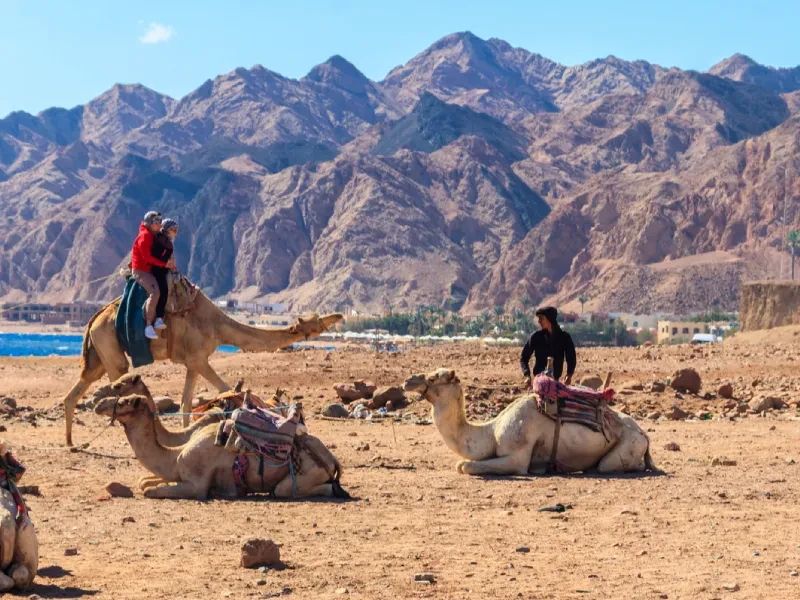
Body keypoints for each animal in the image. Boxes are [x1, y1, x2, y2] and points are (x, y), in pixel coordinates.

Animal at [62, 288, 342, 446]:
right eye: (317, 322)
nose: (338, 316)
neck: (219, 326)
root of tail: (94, 318)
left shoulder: (192, 361)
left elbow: (186, 401)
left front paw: (188, 435)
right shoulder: (199, 358)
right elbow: (227, 388)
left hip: (99, 352)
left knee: (78, 388)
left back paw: (70, 442)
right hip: (109, 343)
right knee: (116, 377)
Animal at [94, 395, 349, 500]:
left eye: (125, 401)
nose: (98, 404)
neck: (176, 455)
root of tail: (332, 460)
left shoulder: (196, 484)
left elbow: (150, 490)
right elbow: (145, 482)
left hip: (302, 476)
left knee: (288, 490)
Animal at [403, 368, 658, 476]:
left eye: (434, 377)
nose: (407, 381)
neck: (491, 431)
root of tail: (644, 434)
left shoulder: (517, 457)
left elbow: (466, 466)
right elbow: (463, 463)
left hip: (628, 444)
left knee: (609, 465)